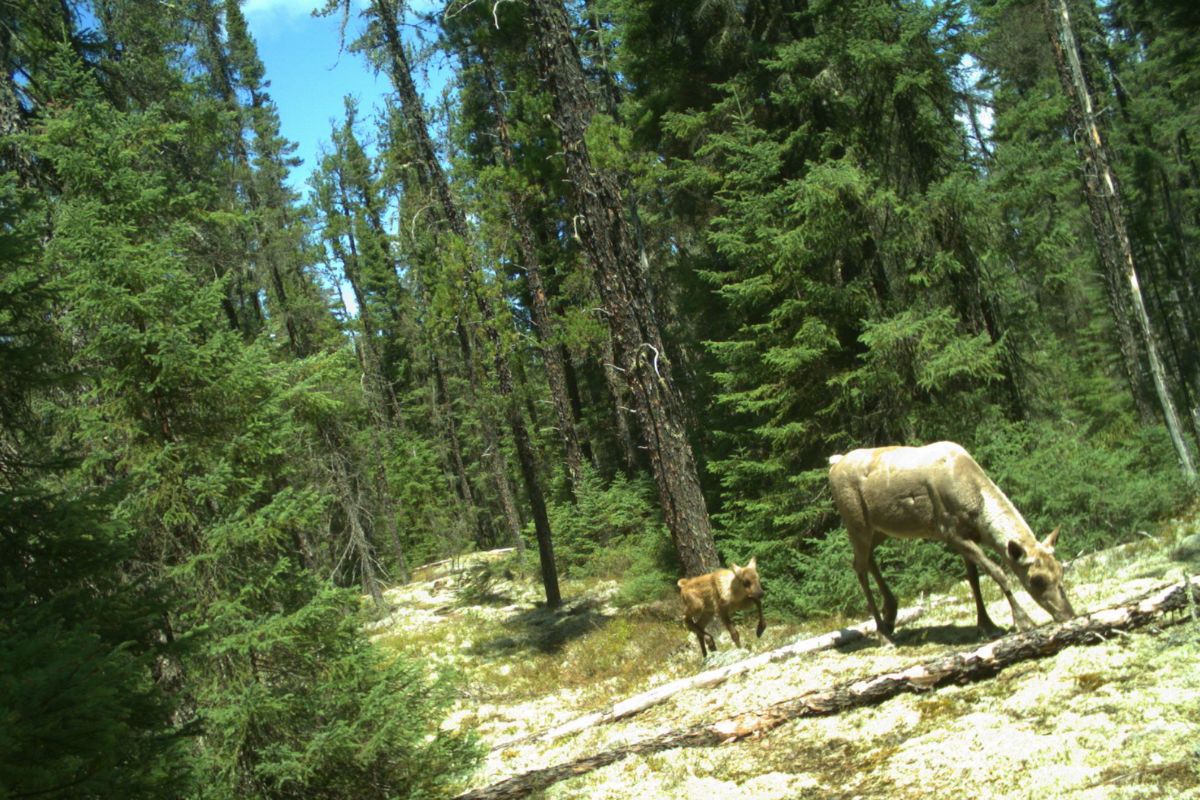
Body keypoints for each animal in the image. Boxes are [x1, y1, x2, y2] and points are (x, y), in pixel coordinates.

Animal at [830, 443, 1075, 642]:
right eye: (1036, 580)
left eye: (1061, 571)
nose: (1068, 614)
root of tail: (833, 466)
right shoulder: (950, 533)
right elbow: (997, 572)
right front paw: (1023, 622)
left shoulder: (966, 536)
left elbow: (974, 579)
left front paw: (987, 626)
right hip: (856, 523)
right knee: (858, 566)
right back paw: (883, 633)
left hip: (878, 530)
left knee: (868, 560)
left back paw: (891, 616)